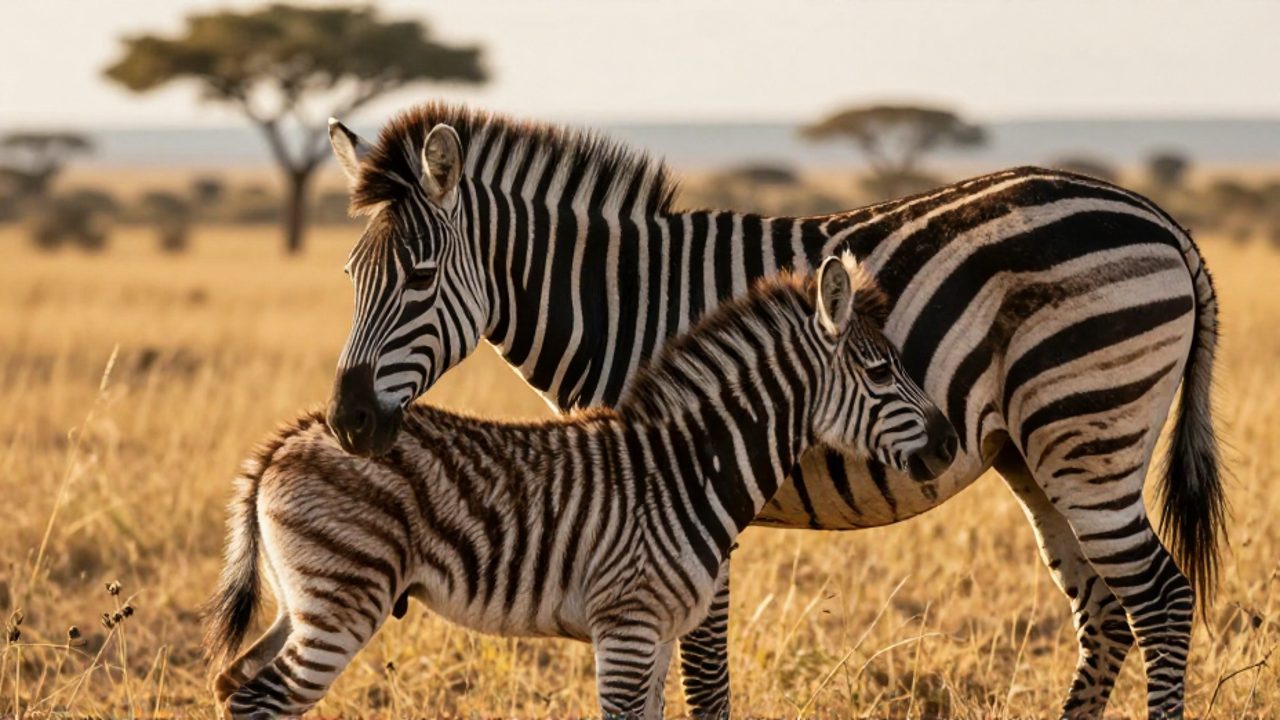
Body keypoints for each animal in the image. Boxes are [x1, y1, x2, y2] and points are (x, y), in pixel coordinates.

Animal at [205, 255, 958, 718]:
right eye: (882, 372)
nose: (949, 443)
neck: (690, 466)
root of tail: (287, 439)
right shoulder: (626, 622)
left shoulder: (658, 631)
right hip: (342, 600)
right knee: (259, 698)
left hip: (304, 601)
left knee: (232, 682)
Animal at [324, 103, 1224, 719]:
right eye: (349, 276)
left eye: (419, 277)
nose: (347, 422)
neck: (625, 302)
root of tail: (1161, 220)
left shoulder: (677, 493)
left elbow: (701, 671)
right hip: (1039, 457)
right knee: (1105, 614)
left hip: (1089, 436)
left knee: (1161, 602)